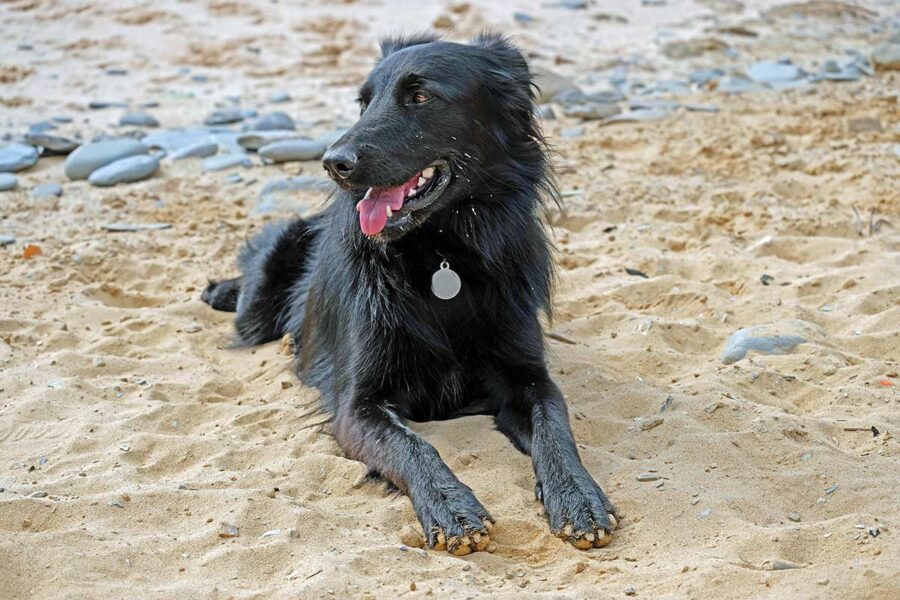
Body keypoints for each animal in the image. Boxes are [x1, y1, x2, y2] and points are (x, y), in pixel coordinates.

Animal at [205, 35, 620, 556]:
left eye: (420, 97)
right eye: (364, 103)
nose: (333, 163)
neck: (442, 256)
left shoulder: (530, 378)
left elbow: (556, 429)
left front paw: (579, 496)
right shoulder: (357, 407)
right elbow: (414, 446)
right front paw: (453, 510)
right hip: (259, 303)